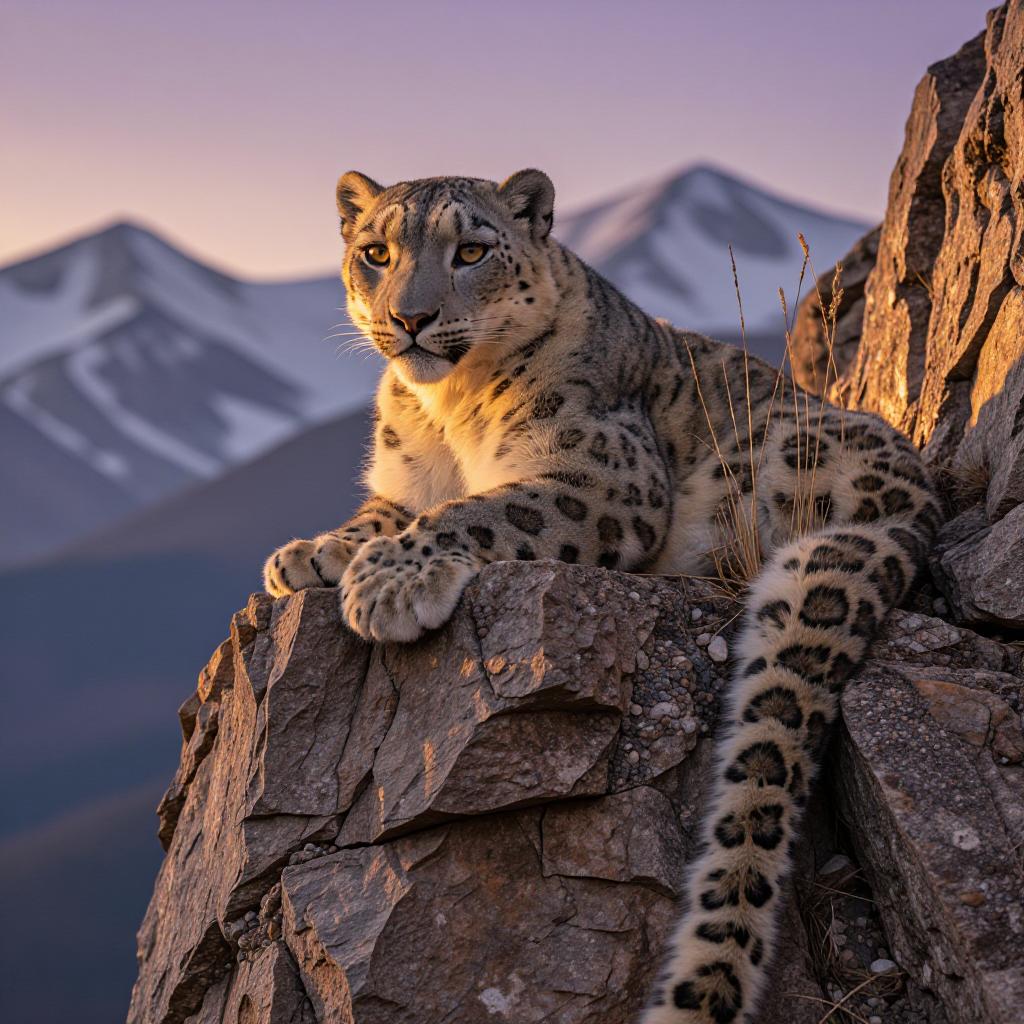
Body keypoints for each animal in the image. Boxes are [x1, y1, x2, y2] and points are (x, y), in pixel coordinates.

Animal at [262, 168, 942, 1024]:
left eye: (471, 251)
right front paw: (309, 554)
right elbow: (384, 511)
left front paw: (389, 581)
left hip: (773, 455)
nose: (409, 319)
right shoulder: (401, 481)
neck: (442, 411)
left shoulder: (602, 481)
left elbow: (483, 510)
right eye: (376, 253)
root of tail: (916, 509)